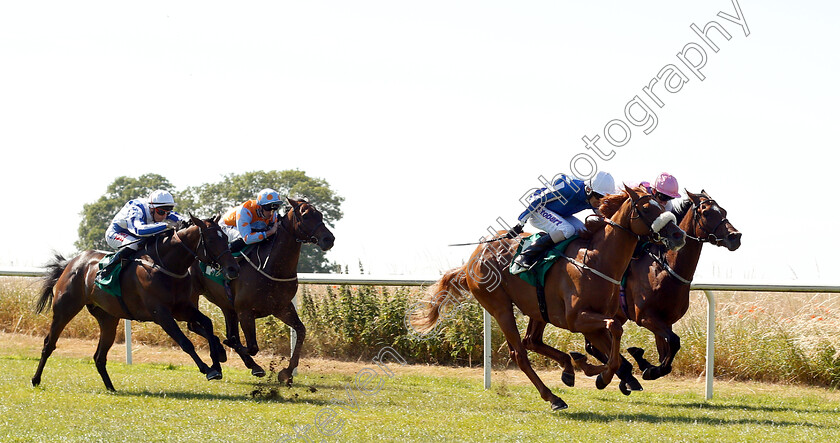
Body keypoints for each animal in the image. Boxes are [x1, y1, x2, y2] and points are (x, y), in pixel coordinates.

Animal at [31, 216, 238, 392]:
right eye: (210, 240)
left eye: (225, 237)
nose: (233, 268)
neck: (167, 265)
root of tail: (71, 263)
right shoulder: (160, 313)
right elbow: (185, 342)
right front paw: (208, 369)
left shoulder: (182, 308)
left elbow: (208, 324)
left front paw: (217, 360)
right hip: (64, 309)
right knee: (49, 344)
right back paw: (36, 380)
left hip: (108, 319)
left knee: (99, 356)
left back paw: (111, 388)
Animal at [190, 199, 334, 386]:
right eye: (306, 215)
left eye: (320, 214)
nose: (329, 239)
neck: (272, 267)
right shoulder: (245, 311)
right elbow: (250, 346)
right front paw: (228, 347)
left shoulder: (282, 307)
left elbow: (301, 331)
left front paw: (286, 372)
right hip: (192, 294)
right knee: (194, 325)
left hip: (226, 305)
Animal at [412, 186, 684, 412]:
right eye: (647, 208)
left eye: (662, 206)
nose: (678, 234)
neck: (596, 260)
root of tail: (472, 258)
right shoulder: (577, 319)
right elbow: (615, 333)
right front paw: (604, 376)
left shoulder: (595, 322)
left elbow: (615, 350)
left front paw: (602, 373)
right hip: (499, 307)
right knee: (520, 353)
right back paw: (554, 397)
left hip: (537, 309)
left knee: (532, 341)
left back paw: (571, 368)